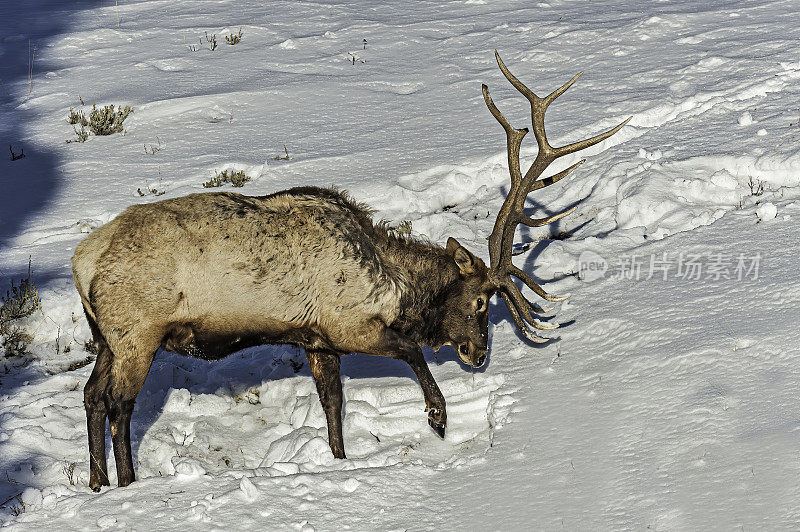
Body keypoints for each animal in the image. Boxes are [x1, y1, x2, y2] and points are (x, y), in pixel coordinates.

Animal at [72, 51, 628, 490]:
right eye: (478, 301)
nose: (478, 353)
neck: (394, 285)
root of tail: (81, 264)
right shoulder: (349, 324)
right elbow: (409, 351)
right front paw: (438, 415)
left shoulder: (318, 341)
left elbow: (334, 407)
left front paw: (340, 461)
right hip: (137, 334)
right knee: (119, 404)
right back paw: (127, 482)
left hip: (105, 338)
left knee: (92, 395)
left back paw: (98, 482)